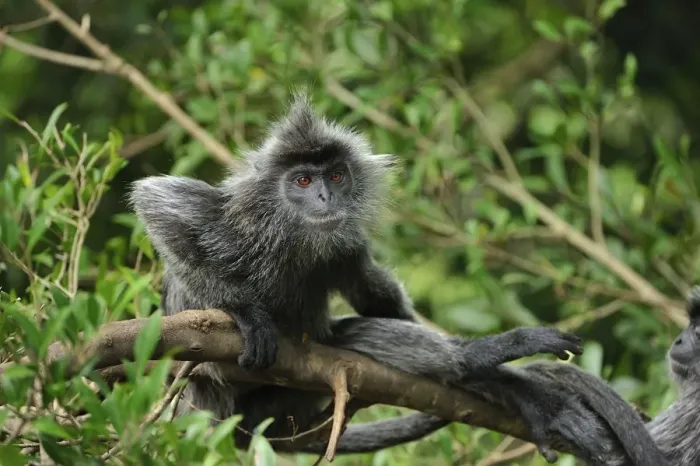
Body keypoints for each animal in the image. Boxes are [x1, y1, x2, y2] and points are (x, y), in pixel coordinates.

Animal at [129, 93, 584, 454]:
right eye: (303, 180)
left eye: (335, 176)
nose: (325, 197)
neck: (292, 237)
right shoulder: (233, 219)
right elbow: (155, 201)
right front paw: (247, 314)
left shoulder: (345, 246)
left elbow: (370, 293)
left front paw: (502, 380)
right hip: (212, 383)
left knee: (359, 336)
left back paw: (484, 366)